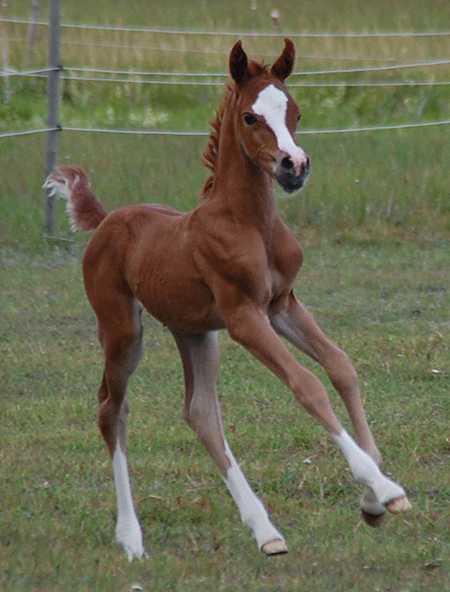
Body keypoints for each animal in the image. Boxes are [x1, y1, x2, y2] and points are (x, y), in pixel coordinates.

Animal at [44, 38, 412, 560]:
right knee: (112, 410)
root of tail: (108, 220)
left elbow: (341, 367)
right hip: (122, 329)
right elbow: (307, 384)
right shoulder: (244, 317)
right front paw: (383, 488)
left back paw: (265, 531)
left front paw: (373, 500)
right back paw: (131, 537)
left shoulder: (283, 306)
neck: (251, 223)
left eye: (296, 112)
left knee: (200, 414)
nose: (294, 167)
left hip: (195, 332)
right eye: (250, 117)